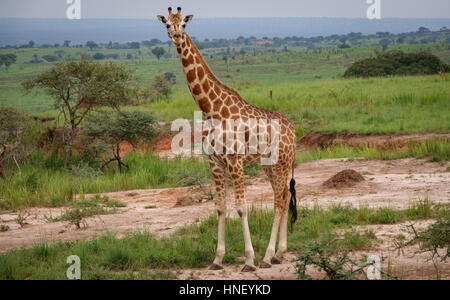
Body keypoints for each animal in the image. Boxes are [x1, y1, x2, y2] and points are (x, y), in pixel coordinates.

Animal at [158, 7, 298, 270]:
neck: (211, 110)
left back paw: (267, 256)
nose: (178, 37)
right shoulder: (215, 162)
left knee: (279, 200)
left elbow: (242, 208)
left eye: (184, 24)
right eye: (167, 25)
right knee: (284, 197)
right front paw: (217, 259)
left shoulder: (235, 160)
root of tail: (293, 130)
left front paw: (249, 260)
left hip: (282, 162)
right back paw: (279, 253)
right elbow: (220, 207)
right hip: (270, 166)